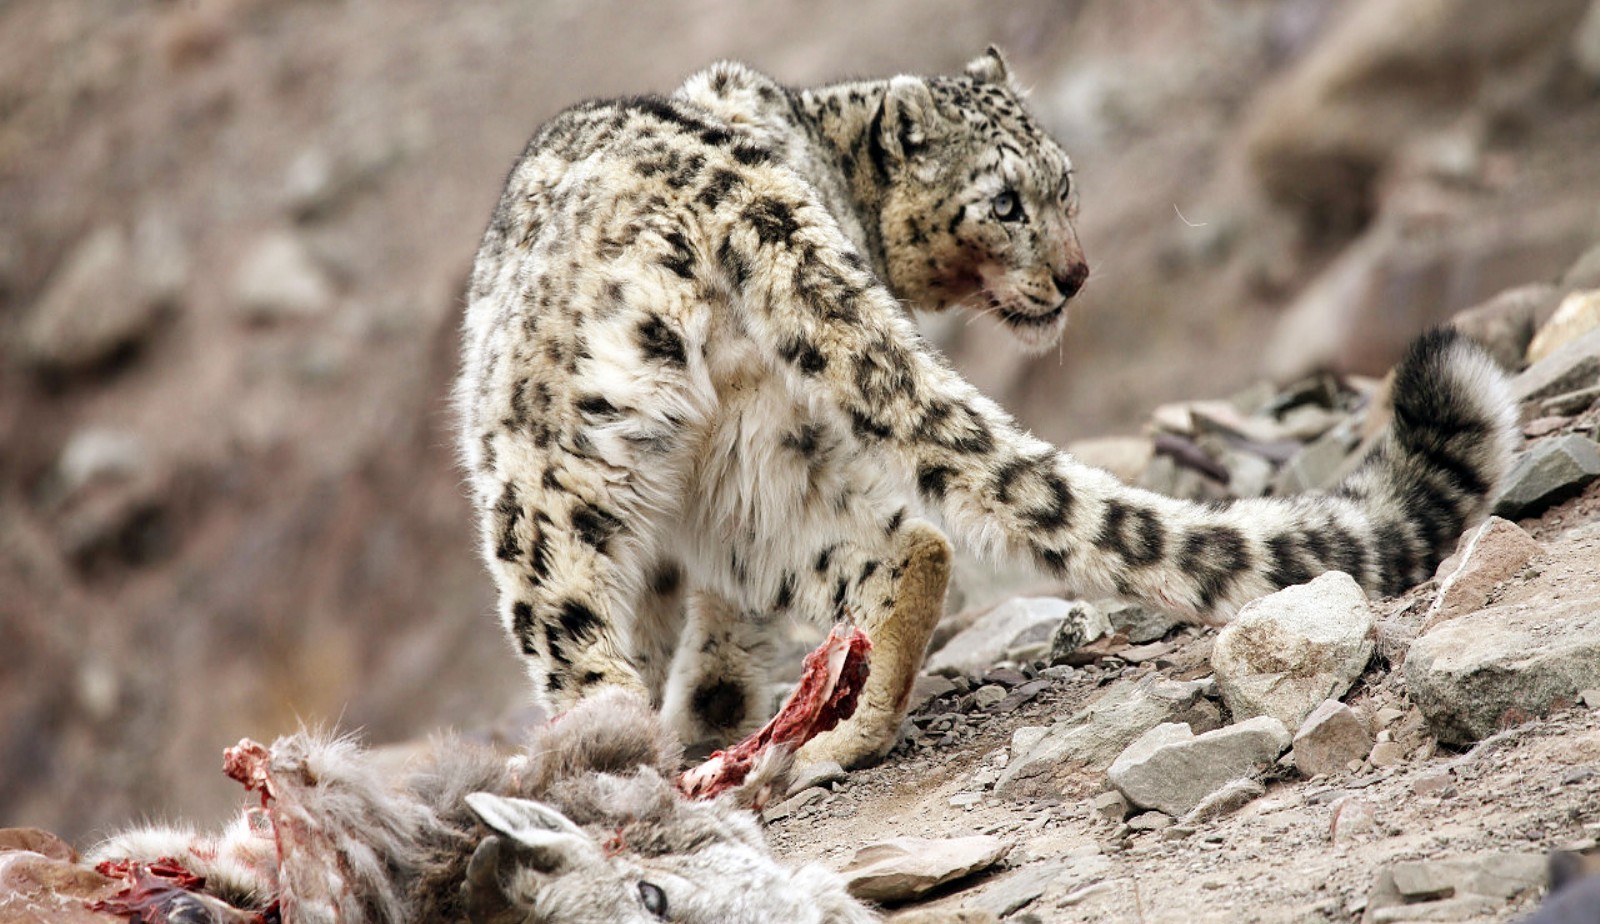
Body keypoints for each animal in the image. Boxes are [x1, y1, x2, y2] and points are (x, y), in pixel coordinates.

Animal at [455, 47, 1516, 768]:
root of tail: (738, 188)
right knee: (906, 548)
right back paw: (846, 737)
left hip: (550, 480)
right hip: (749, 464)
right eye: (1006, 202)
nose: (1077, 273)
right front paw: (717, 715)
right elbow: (712, 633)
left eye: (1065, 187)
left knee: (581, 643)